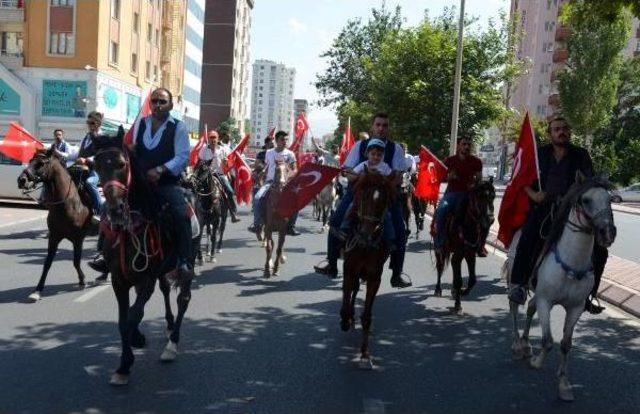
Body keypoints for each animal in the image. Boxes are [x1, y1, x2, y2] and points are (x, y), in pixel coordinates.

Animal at [17, 148, 95, 300]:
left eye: (41, 163)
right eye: (30, 160)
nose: (21, 180)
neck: (67, 204)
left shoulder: (78, 239)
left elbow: (76, 261)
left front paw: (82, 281)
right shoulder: (54, 237)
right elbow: (47, 263)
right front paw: (37, 290)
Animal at [92, 132, 196, 384]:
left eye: (121, 164)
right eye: (96, 166)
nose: (115, 210)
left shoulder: (147, 278)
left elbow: (133, 315)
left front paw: (127, 359)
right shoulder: (120, 280)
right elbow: (123, 321)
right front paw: (124, 362)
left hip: (188, 261)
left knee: (183, 298)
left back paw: (172, 345)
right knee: (166, 290)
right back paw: (167, 324)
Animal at [340, 171, 396, 368]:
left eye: (384, 201)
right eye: (363, 197)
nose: (365, 236)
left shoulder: (374, 278)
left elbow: (366, 316)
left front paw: (365, 355)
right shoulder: (348, 270)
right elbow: (346, 297)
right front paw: (345, 320)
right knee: (351, 291)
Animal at [436, 181, 496, 314]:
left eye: (493, 196)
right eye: (480, 197)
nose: (490, 219)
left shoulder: (470, 254)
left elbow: (472, 279)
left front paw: (463, 292)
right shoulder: (458, 255)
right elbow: (459, 280)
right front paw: (458, 305)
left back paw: (454, 291)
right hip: (440, 250)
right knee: (440, 267)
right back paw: (438, 289)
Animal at [508, 174, 616, 402]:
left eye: (610, 200)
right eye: (586, 200)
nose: (608, 232)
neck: (572, 261)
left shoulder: (575, 308)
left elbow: (566, 344)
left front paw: (564, 384)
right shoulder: (546, 301)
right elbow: (548, 341)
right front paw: (537, 363)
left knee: (529, 308)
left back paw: (526, 344)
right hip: (515, 280)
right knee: (514, 307)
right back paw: (518, 345)